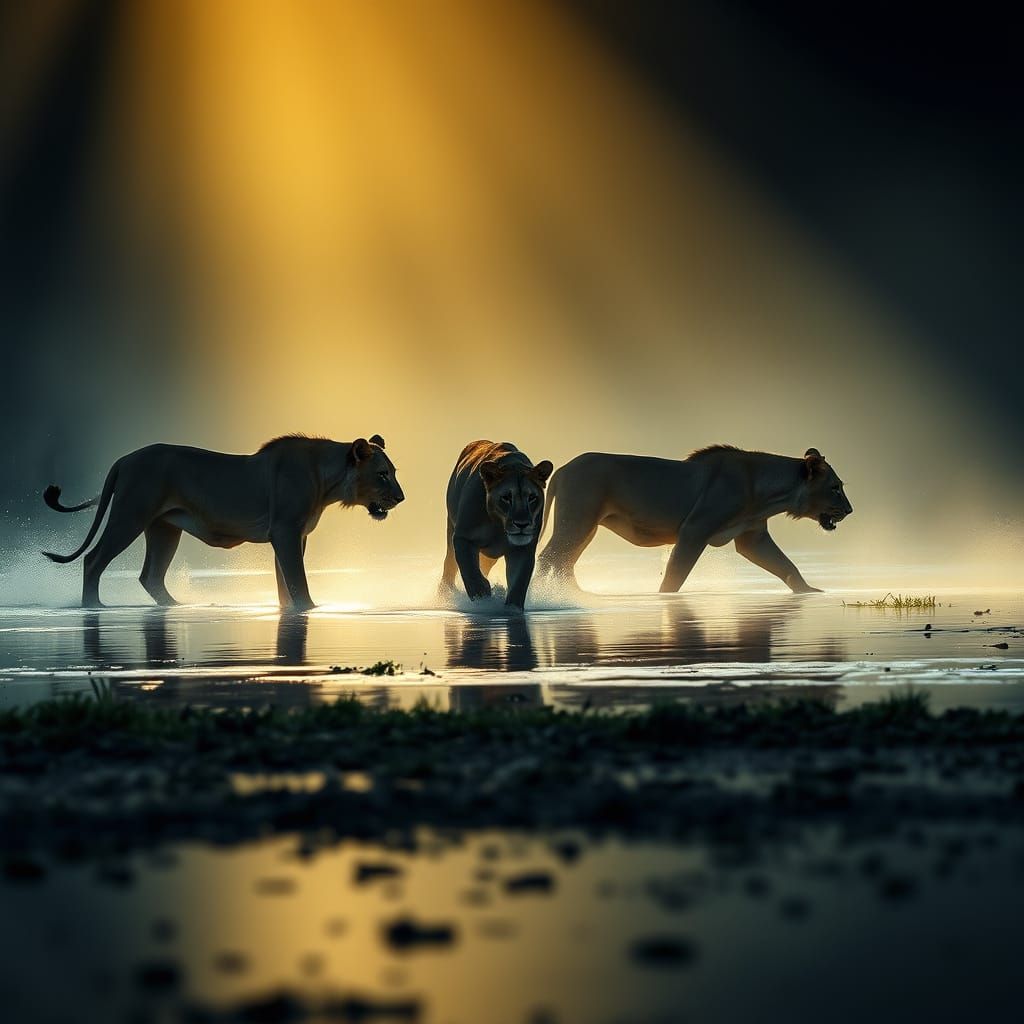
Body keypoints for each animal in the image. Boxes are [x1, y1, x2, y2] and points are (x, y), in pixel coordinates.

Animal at [42, 434, 404, 610]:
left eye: (393, 472)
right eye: (382, 474)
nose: (401, 498)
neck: (327, 481)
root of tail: (123, 459)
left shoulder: (293, 535)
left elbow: (283, 584)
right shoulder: (285, 531)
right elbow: (297, 581)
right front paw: (311, 608)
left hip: (163, 528)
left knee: (150, 576)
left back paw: (181, 605)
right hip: (130, 515)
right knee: (93, 560)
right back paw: (93, 606)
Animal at [439, 440, 554, 610]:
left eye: (532, 497)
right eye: (506, 497)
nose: (522, 524)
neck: (499, 526)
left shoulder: (523, 548)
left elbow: (519, 583)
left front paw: (512, 609)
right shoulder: (463, 538)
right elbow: (470, 571)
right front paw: (483, 599)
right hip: (451, 531)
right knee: (450, 564)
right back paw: (444, 594)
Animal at [537, 445, 852, 594]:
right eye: (835, 488)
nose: (849, 510)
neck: (767, 495)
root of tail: (562, 469)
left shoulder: (752, 538)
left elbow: (787, 566)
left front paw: (810, 591)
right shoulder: (694, 530)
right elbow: (675, 575)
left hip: (585, 527)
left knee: (564, 562)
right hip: (576, 521)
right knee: (548, 558)